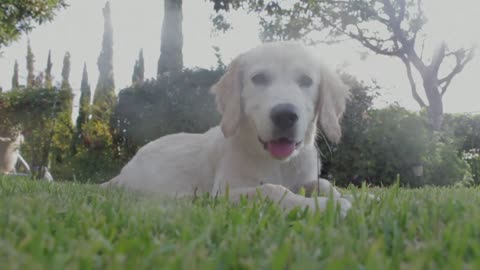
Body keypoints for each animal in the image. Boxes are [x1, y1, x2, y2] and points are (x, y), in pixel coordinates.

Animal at [103, 41, 352, 216]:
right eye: (259, 78)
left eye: (306, 81)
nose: (285, 115)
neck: (277, 163)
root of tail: (123, 172)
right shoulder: (223, 193)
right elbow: (271, 190)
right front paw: (324, 206)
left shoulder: (304, 178)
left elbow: (324, 183)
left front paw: (350, 198)